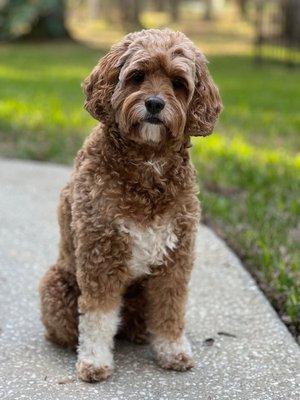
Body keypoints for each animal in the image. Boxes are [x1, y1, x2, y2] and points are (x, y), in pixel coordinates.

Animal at [39, 28, 223, 382]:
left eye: (178, 82)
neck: (147, 163)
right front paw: (94, 361)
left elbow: (170, 310)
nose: (154, 103)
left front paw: (172, 350)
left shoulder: (175, 257)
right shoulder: (100, 251)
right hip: (56, 287)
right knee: (71, 327)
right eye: (137, 76)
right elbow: (98, 316)